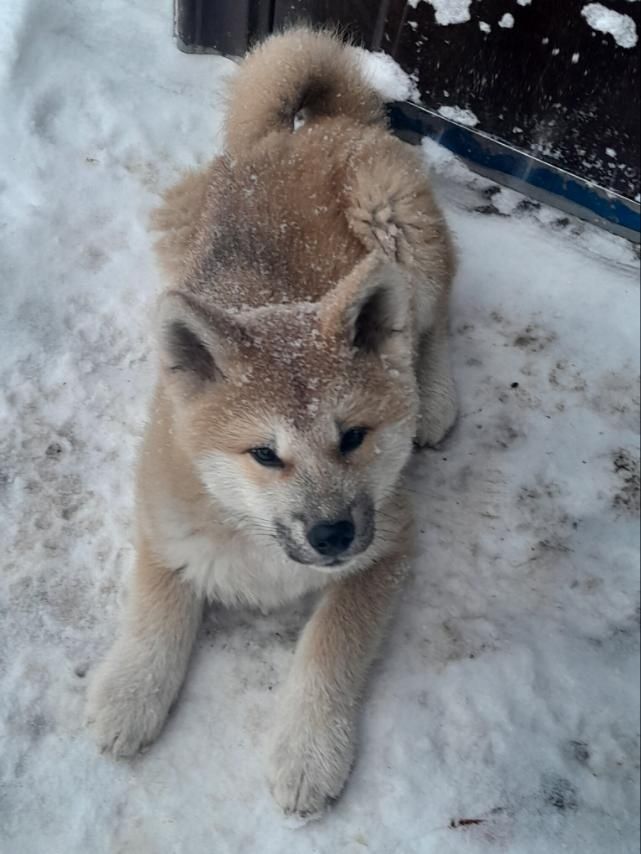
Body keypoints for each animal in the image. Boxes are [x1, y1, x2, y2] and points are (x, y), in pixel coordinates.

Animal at [86, 25, 456, 816]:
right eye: (263, 454)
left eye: (353, 437)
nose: (333, 534)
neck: (253, 535)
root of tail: (313, 127)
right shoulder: (163, 518)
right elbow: (155, 609)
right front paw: (130, 692)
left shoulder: (389, 543)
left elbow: (328, 649)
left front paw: (309, 749)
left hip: (397, 226)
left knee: (432, 321)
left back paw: (435, 395)